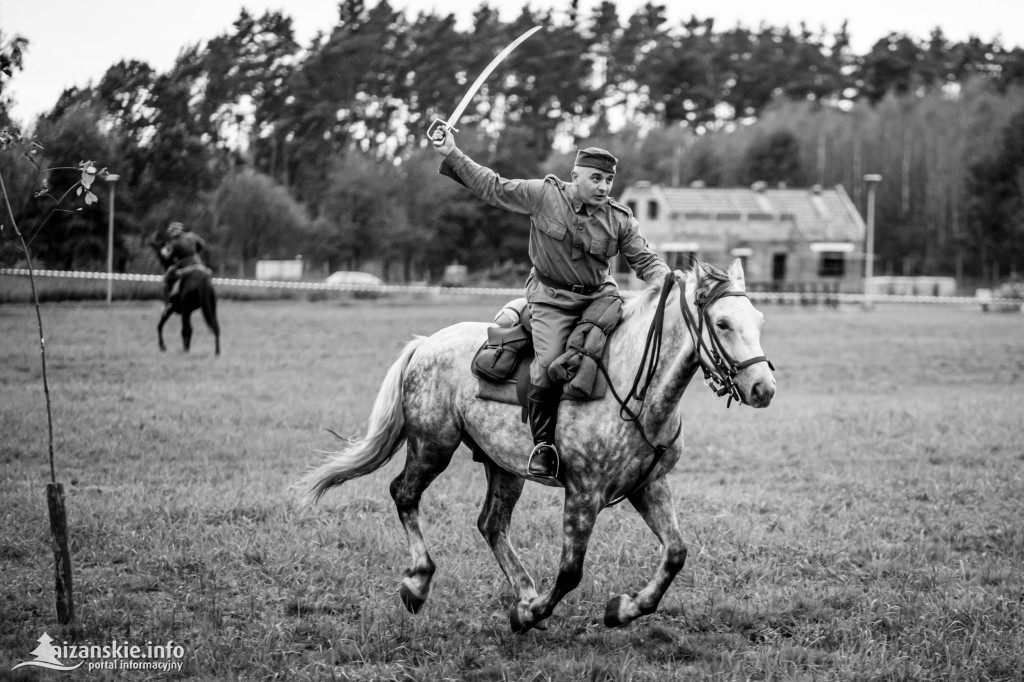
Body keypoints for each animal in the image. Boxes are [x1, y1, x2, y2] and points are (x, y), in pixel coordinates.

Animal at [303, 259, 774, 630]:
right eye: (722, 323)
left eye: (758, 321)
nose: (763, 388)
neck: (634, 388)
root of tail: (425, 344)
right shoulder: (583, 494)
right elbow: (570, 572)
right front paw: (530, 615)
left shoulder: (648, 485)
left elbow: (676, 553)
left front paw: (622, 609)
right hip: (432, 445)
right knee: (404, 493)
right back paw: (418, 583)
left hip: (504, 467)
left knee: (491, 524)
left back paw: (524, 591)